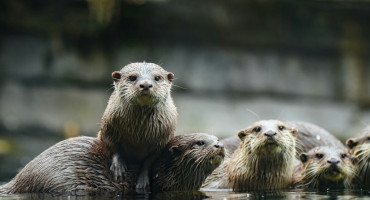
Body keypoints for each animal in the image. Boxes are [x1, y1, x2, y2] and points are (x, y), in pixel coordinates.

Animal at [97, 61, 178, 190]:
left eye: (157, 77)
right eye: (132, 77)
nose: (145, 84)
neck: (138, 136)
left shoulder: (162, 141)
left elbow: (149, 161)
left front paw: (143, 181)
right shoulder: (107, 128)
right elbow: (113, 147)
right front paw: (118, 168)